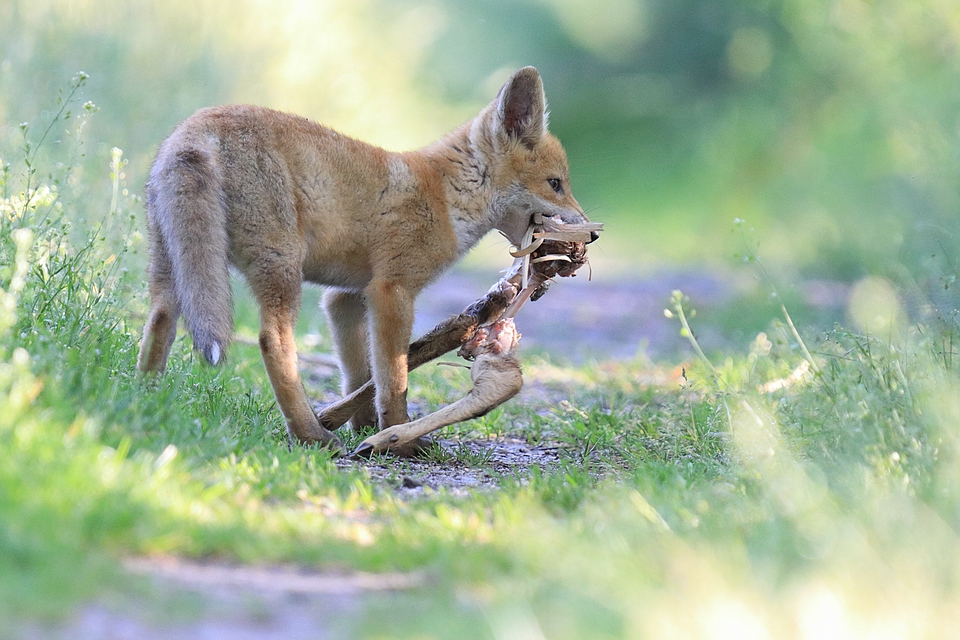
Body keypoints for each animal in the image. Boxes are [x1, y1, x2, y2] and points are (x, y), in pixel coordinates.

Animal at [139, 66, 596, 450]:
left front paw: (364, 428)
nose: (591, 233)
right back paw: (310, 435)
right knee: (273, 343)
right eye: (555, 184)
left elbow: (362, 375)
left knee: (159, 321)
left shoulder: (346, 297)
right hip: (282, 269)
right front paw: (398, 440)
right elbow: (393, 379)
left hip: (174, 270)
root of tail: (198, 126)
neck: (447, 196)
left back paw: (146, 401)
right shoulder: (391, 291)